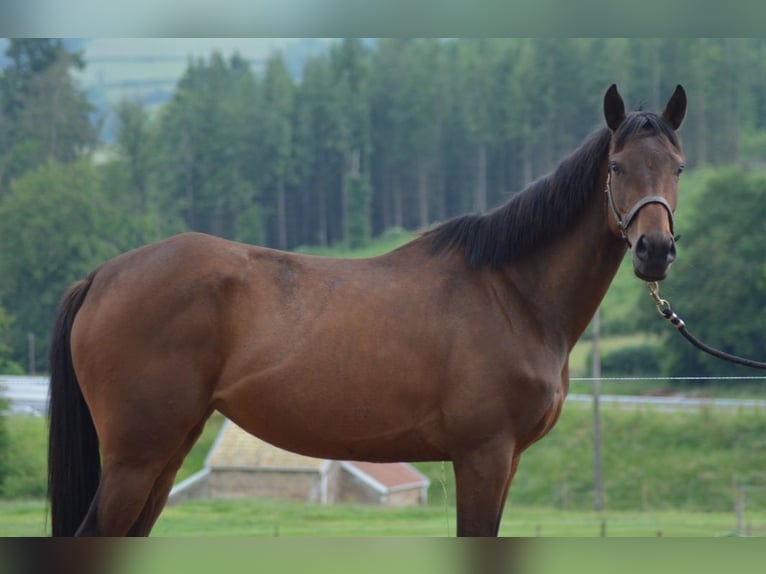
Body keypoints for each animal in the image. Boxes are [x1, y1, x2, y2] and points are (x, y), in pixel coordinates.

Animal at [48, 83, 688, 536]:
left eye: (678, 167)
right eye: (616, 167)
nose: (655, 251)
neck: (512, 292)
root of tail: (102, 276)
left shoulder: (504, 463)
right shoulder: (483, 456)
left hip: (166, 454)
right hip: (135, 458)